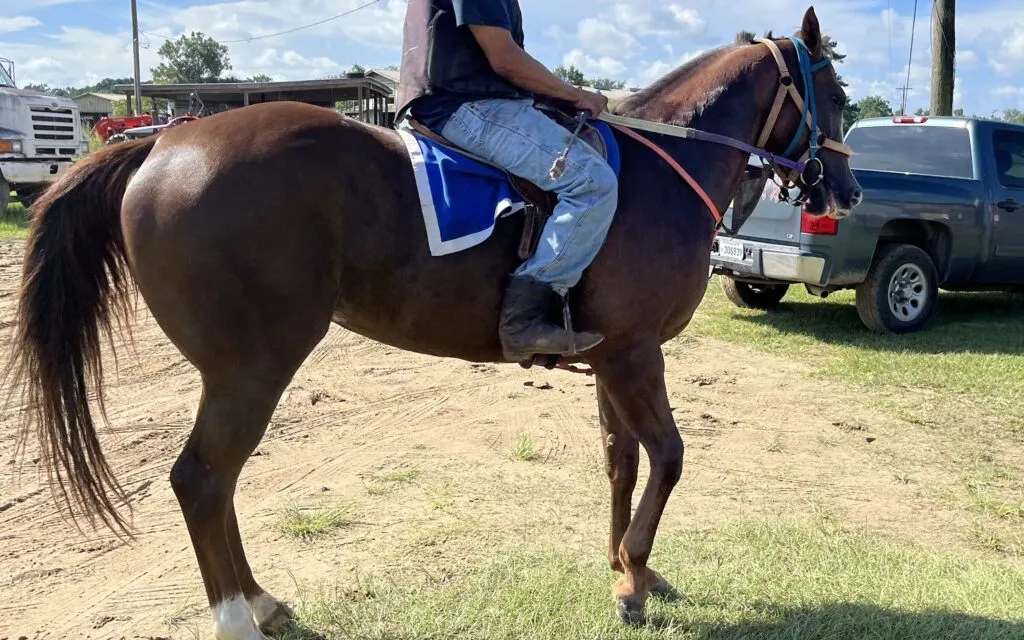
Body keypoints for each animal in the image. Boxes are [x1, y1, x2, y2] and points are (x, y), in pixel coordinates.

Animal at [4, 7, 860, 634]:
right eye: (840, 99)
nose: (847, 192)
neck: (660, 171)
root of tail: (164, 144)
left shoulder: (611, 356)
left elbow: (621, 461)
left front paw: (627, 567)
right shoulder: (635, 354)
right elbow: (671, 457)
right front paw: (633, 582)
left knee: (217, 482)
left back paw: (262, 601)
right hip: (250, 369)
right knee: (203, 481)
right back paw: (237, 617)